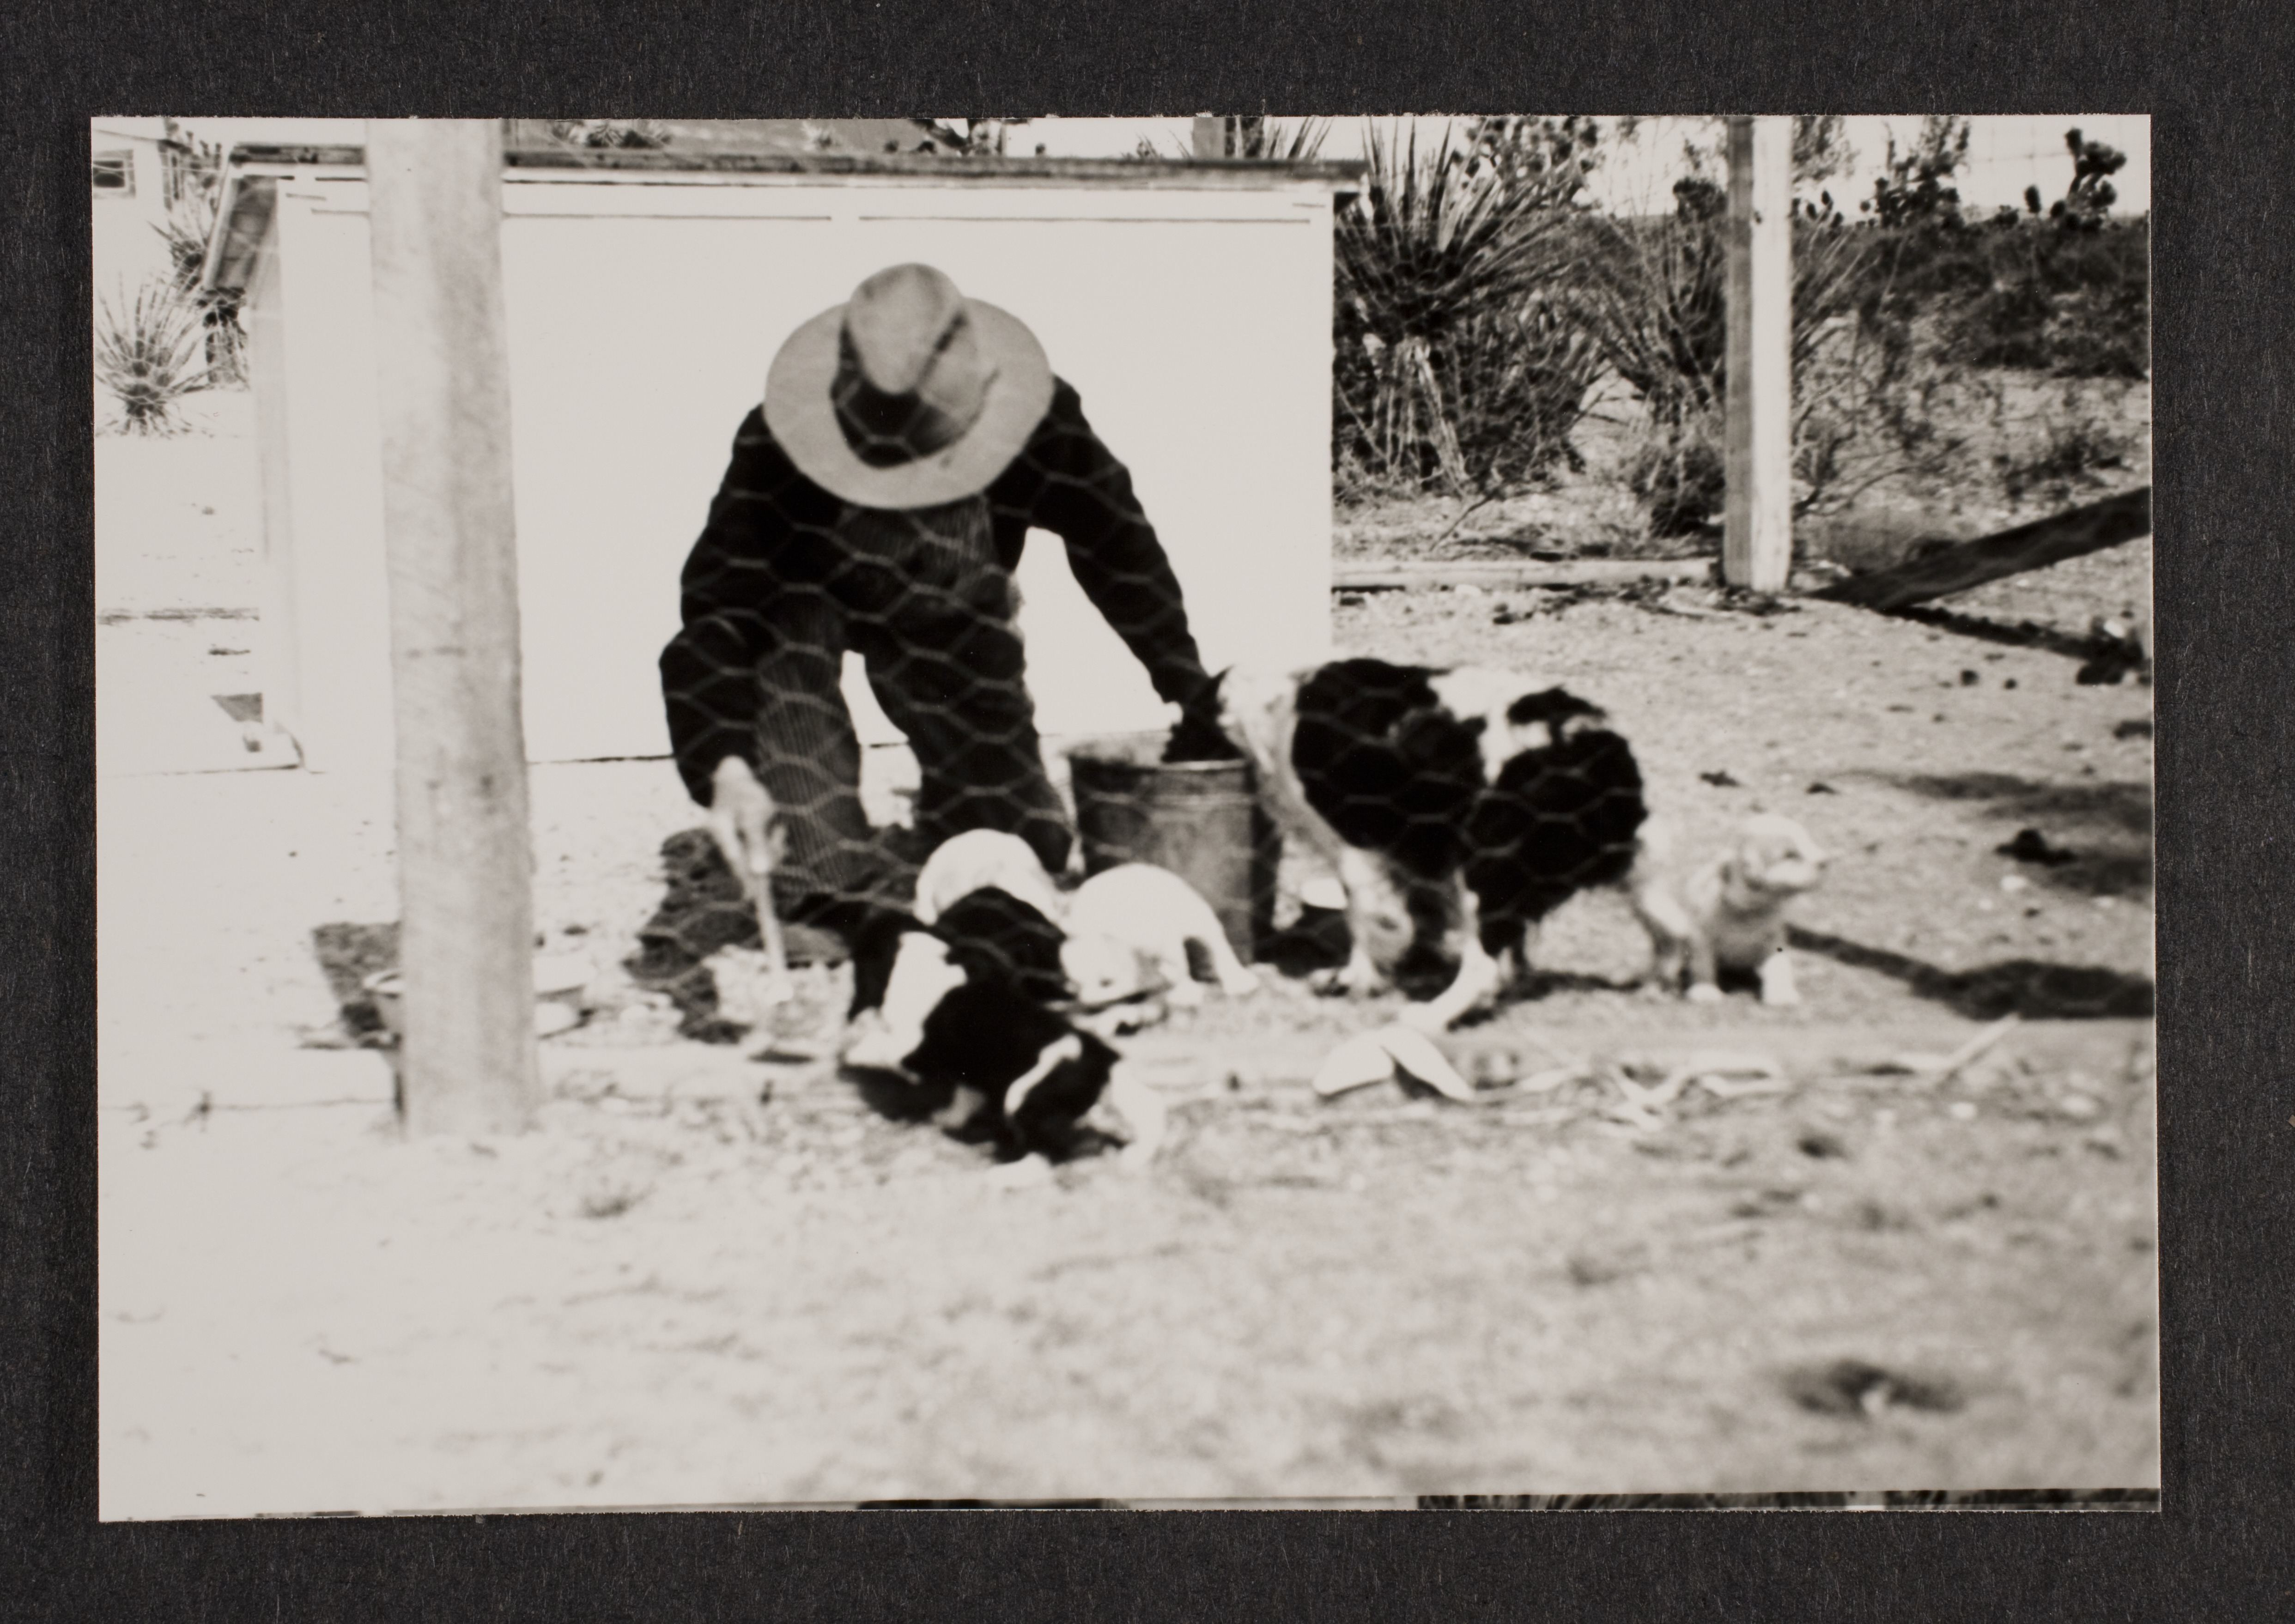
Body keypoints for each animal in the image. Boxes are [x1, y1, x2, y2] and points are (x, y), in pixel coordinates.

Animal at [1220, 656, 1652, 1027]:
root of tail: (1594, 745)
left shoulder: (1353, 847)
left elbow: (1365, 918)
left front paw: (1357, 980)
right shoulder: (1417, 850)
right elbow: (1425, 913)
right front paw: (1416, 965)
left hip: (1488, 867)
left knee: (1482, 964)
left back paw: (1432, 1016)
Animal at [1634, 812, 1827, 1000]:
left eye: (1808, 841)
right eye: (1790, 855)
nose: (1825, 862)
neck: (1749, 912)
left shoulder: (1773, 940)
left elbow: (1778, 966)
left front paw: (1781, 994)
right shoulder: (1702, 938)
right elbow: (1703, 965)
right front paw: (1705, 991)